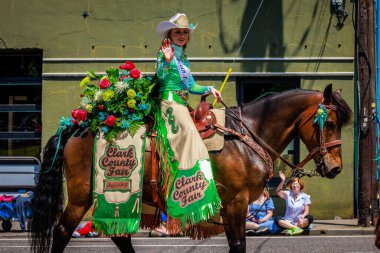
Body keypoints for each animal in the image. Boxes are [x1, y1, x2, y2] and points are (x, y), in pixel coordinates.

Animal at [30, 84, 354, 252]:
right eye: (330, 123)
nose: (336, 168)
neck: (247, 135)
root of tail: (78, 125)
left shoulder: (230, 206)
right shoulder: (236, 203)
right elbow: (239, 245)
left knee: (119, 235)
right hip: (83, 195)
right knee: (62, 231)